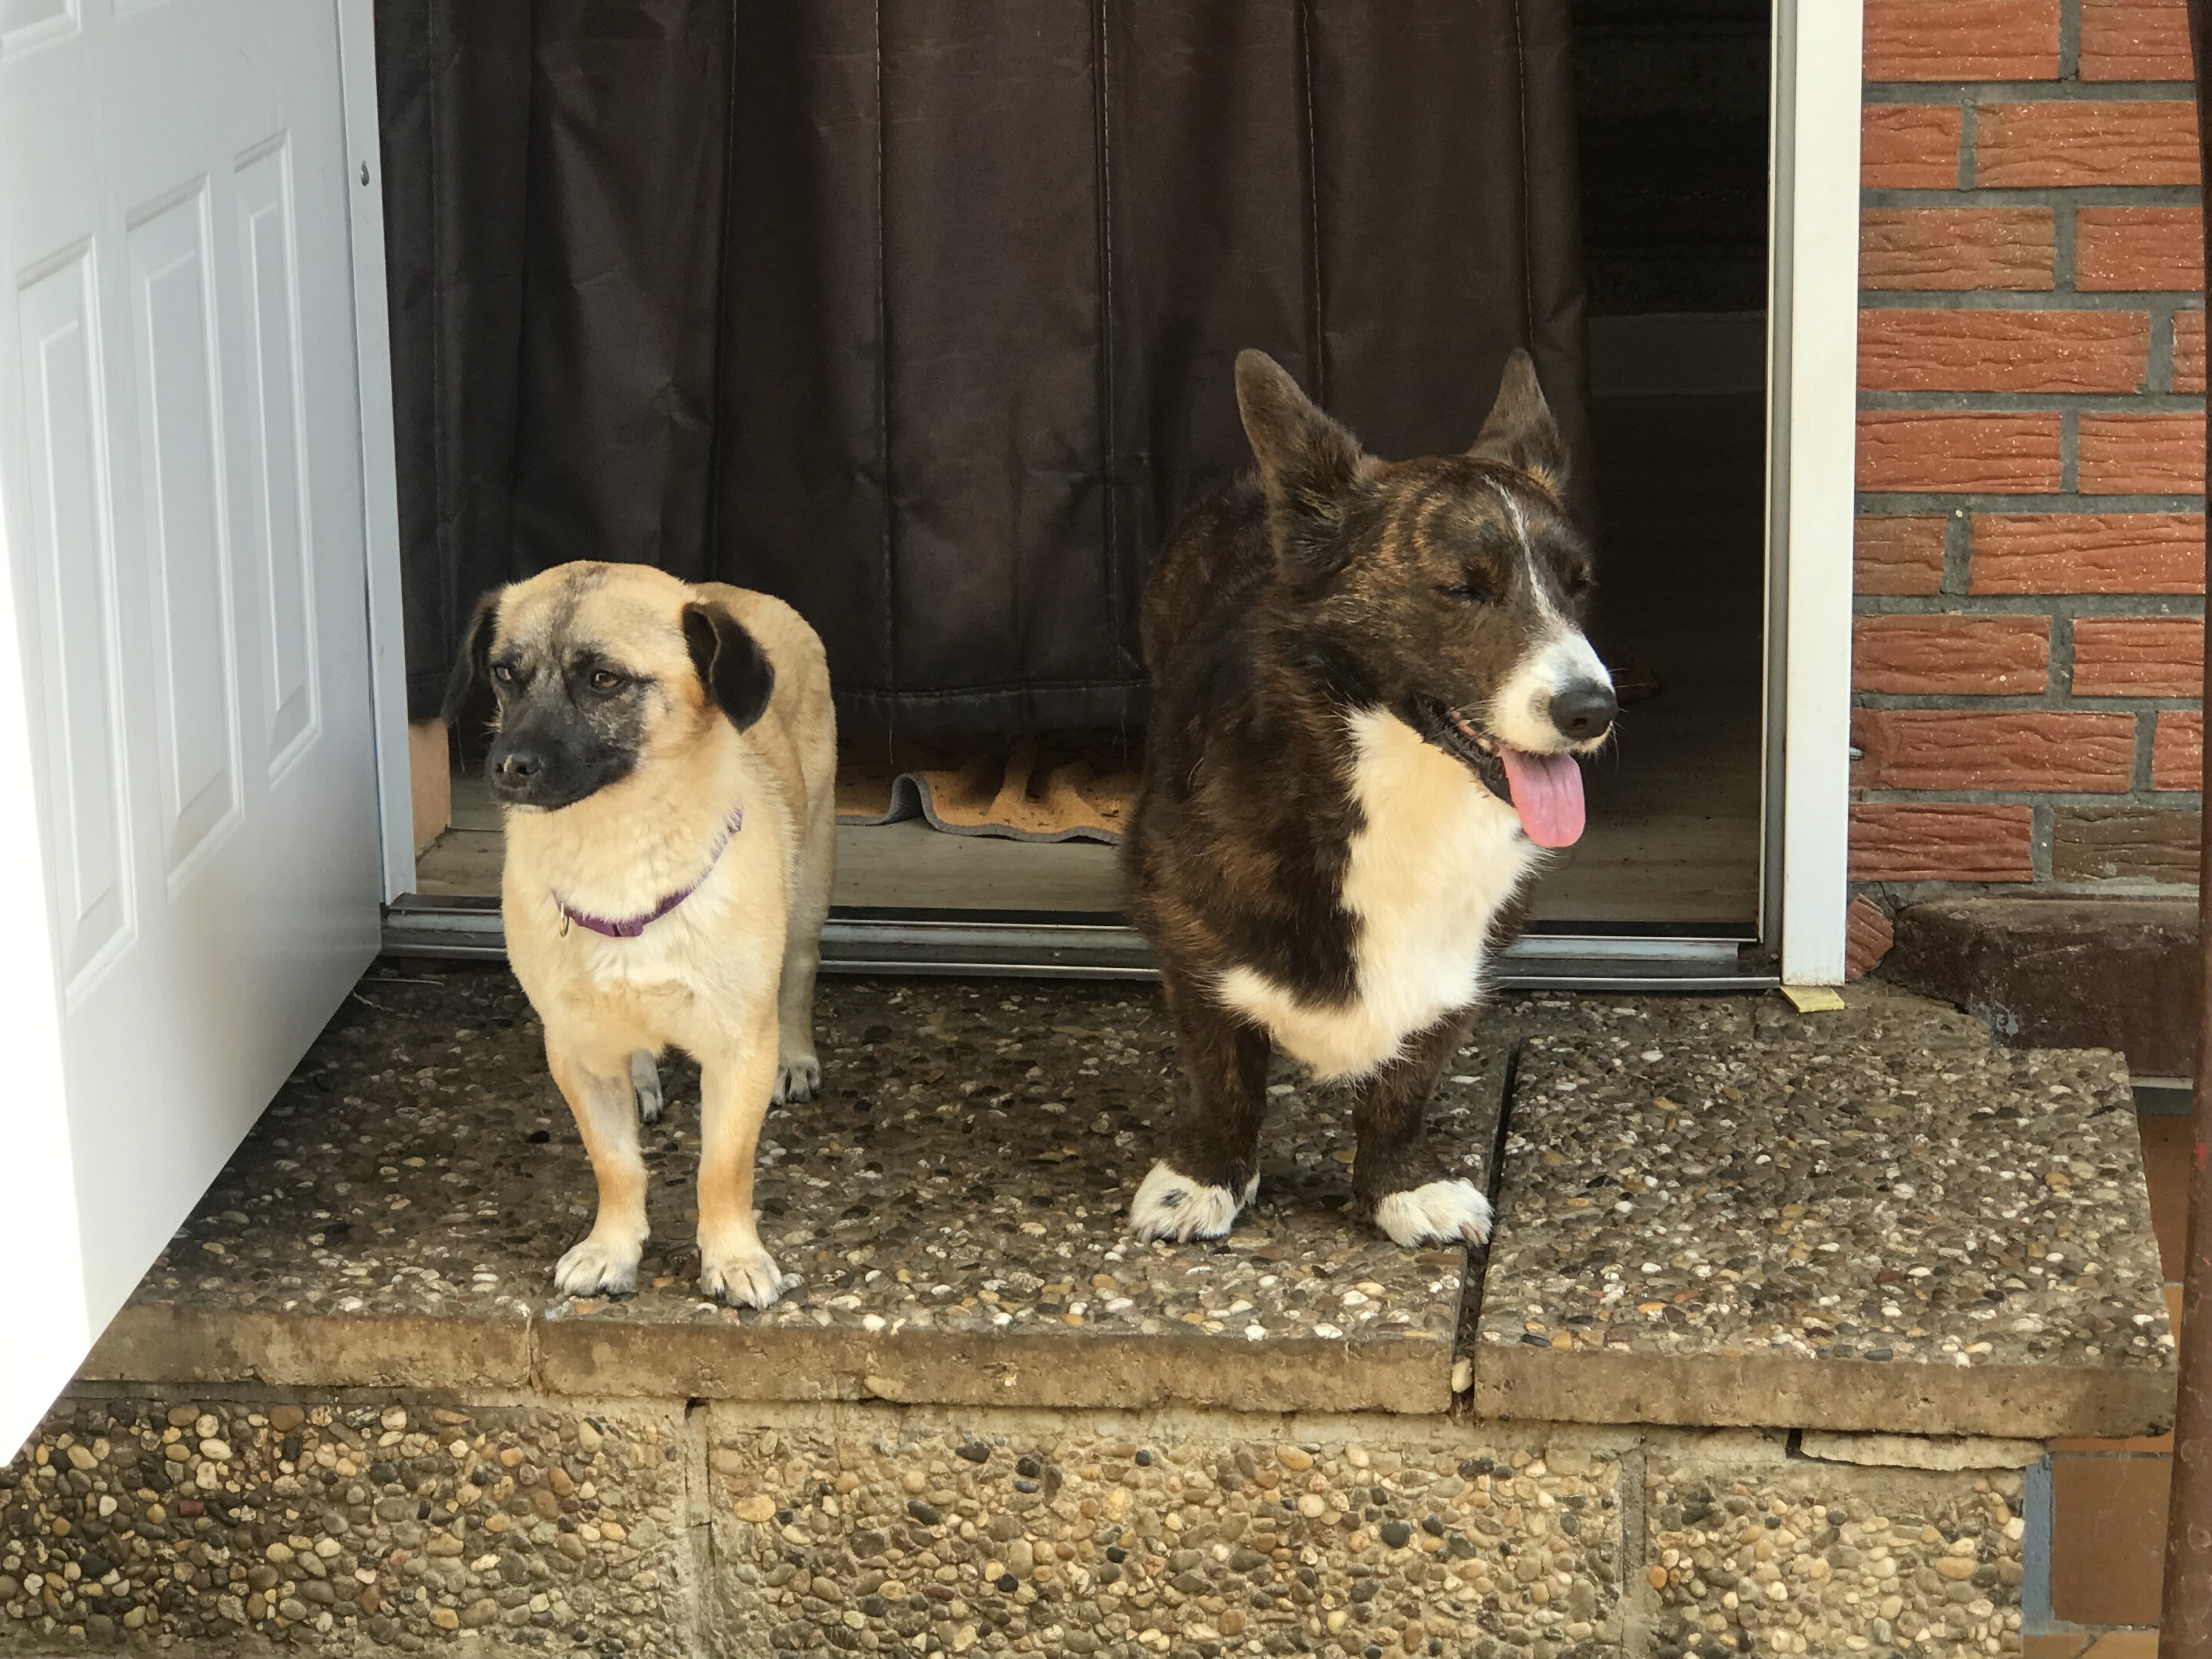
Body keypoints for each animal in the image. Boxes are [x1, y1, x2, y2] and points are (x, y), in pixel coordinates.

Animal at [444, 562, 836, 1307]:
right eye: (505, 673)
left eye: (604, 679)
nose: (507, 766)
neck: (616, 849)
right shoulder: (577, 1049)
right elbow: (616, 1164)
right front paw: (612, 1251)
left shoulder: (739, 1048)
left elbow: (723, 1168)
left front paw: (733, 1257)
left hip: (809, 885)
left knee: (799, 972)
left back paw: (798, 1058)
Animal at [1122, 348, 1614, 1249]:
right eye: (1464, 589)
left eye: (1579, 587)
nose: (1591, 710)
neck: (1407, 783)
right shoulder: (1190, 939)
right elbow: (1222, 1072)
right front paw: (1203, 1180)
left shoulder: (1457, 965)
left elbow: (1404, 1086)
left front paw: (1399, 1188)